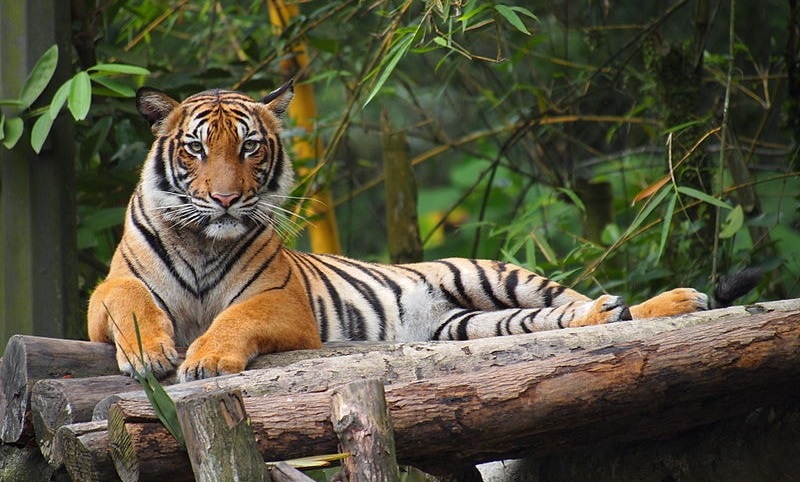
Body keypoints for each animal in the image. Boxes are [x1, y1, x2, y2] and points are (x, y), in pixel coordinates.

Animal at [88, 80, 713, 382]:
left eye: (249, 147)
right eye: (196, 148)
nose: (224, 198)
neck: (202, 240)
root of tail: (433, 312)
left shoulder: (280, 302)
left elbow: (235, 319)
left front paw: (208, 361)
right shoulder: (103, 296)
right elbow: (129, 300)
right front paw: (148, 356)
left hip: (496, 275)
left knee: (576, 300)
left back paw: (679, 301)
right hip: (472, 324)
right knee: (558, 319)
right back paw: (615, 311)